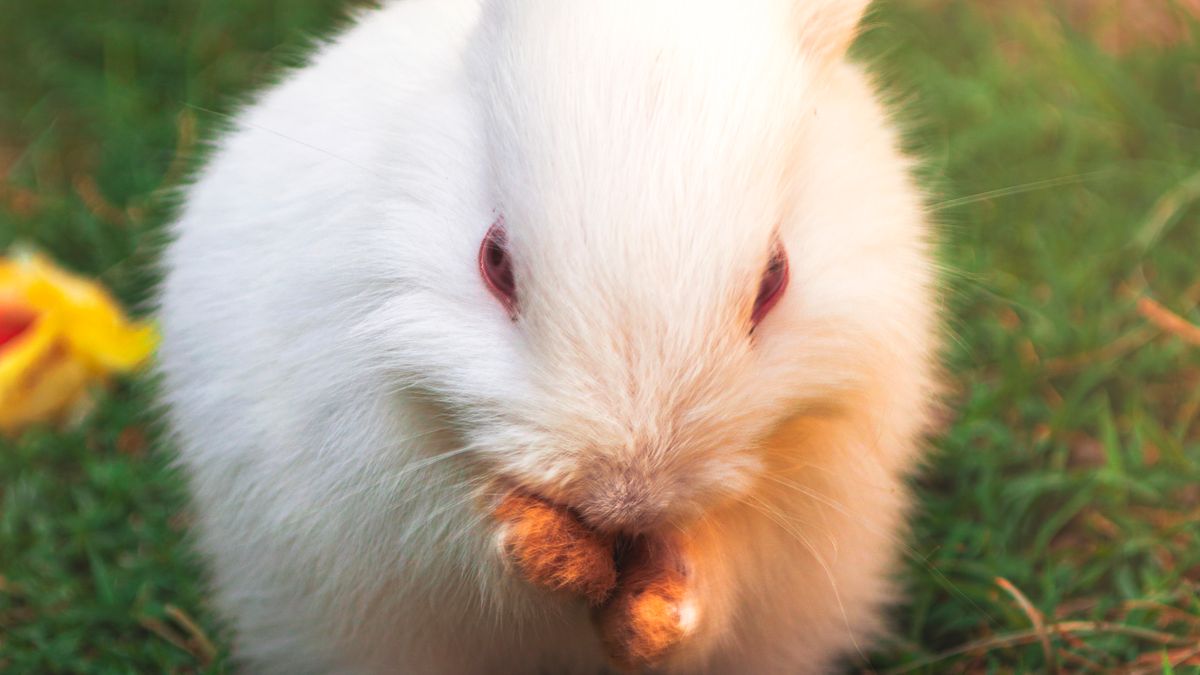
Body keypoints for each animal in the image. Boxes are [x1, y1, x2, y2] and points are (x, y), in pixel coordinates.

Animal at [157, 0, 941, 672]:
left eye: (776, 277)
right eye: (494, 261)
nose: (626, 498)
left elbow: (721, 573)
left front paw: (659, 610)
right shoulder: (383, 474)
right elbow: (465, 543)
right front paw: (550, 552)